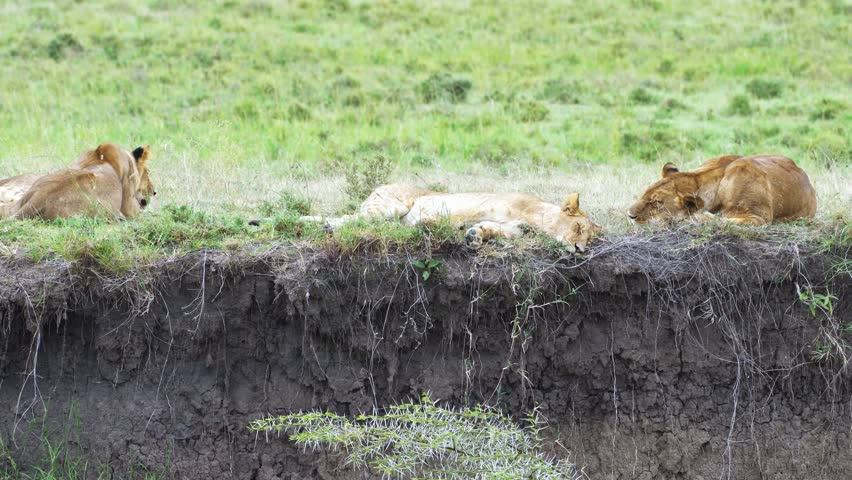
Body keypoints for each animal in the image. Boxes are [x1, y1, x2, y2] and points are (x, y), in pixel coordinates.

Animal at [627, 154, 816, 225]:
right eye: (645, 195)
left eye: (657, 202)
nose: (630, 216)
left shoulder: (758, 217)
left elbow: (722, 219)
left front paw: (698, 216)